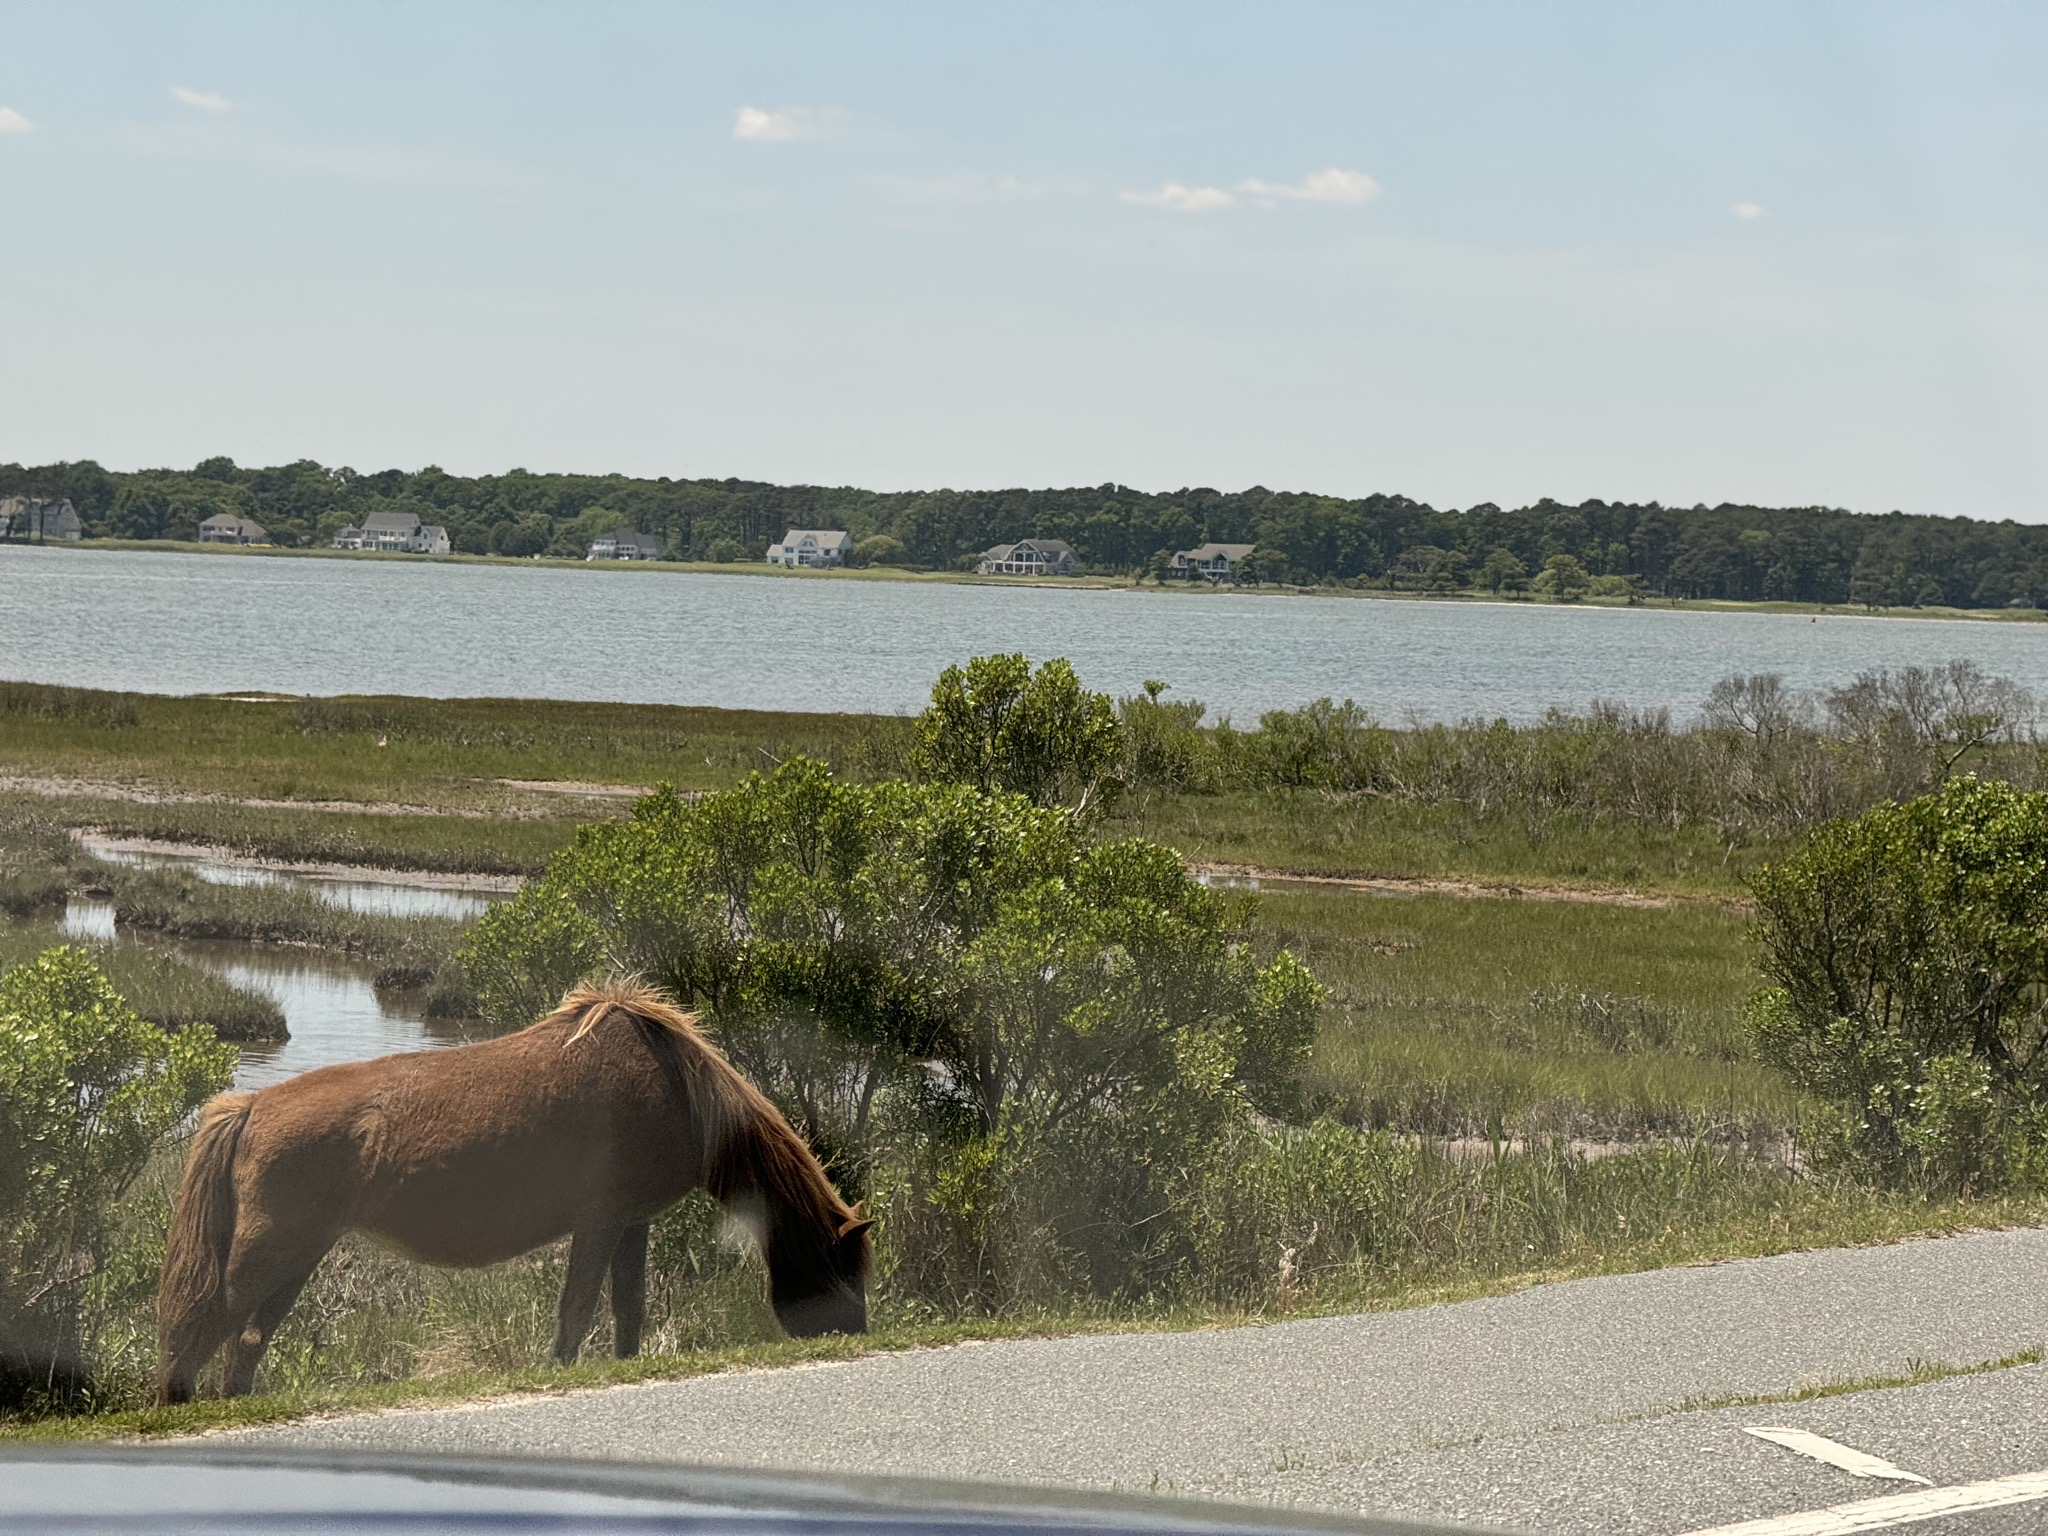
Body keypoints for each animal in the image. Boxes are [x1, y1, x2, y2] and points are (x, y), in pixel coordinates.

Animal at [155, 980, 871, 1404]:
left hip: (298, 1257)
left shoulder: (632, 1223)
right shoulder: (601, 1220)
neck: (678, 1092)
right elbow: (576, 1310)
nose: (855, 1337)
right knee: (203, 1328)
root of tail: (252, 1107)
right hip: (270, 1252)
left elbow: (628, 1311)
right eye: (845, 1268)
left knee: (246, 1342)